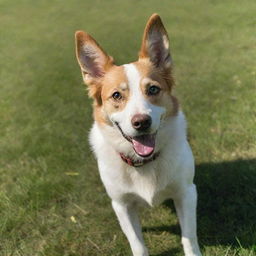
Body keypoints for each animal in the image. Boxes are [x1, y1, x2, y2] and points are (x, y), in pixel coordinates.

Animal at [74, 13, 202, 256]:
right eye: (116, 95)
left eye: (153, 89)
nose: (141, 122)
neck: (144, 163)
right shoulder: (121, 205)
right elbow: (137, 243)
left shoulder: (186, 193)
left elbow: (189, 237)